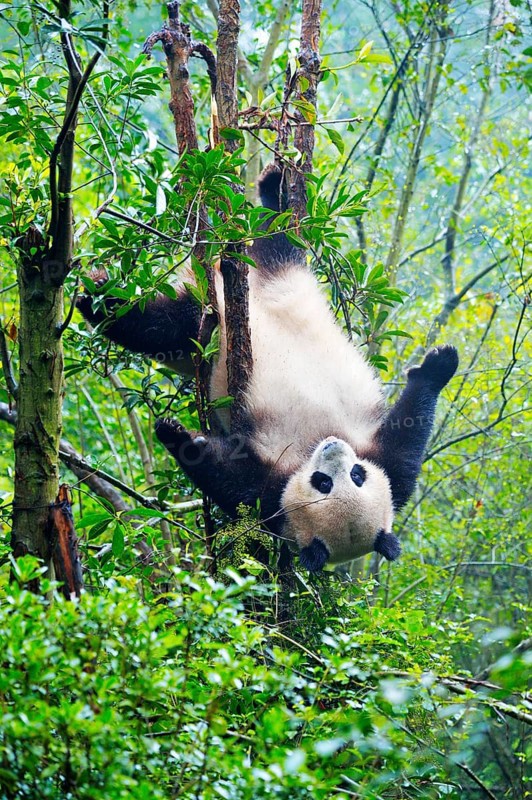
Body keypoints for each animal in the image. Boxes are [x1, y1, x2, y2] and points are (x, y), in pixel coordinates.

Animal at [77, 165, 459, 572]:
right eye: (345, 478)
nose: (334, 447)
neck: (308, 450)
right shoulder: (385, 465)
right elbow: (409, 437)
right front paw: (440, 364)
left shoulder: (274, 495)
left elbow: (227, 479)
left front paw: (178, 436)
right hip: (273, 276)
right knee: (279, 237)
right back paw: (274, 188)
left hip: (200, 329)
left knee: (156, 326)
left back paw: (97, 297)